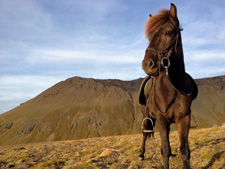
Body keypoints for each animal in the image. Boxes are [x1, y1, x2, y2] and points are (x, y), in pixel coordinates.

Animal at [138, 2, 198, 169]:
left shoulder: (184, 119)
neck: (173, 88)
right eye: (150, 36)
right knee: (145, 133)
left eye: (168, 32)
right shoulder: (161, 119)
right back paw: (141, 154)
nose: (147, 64)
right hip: (146, 115)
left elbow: (184, 151)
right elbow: (165, 149)